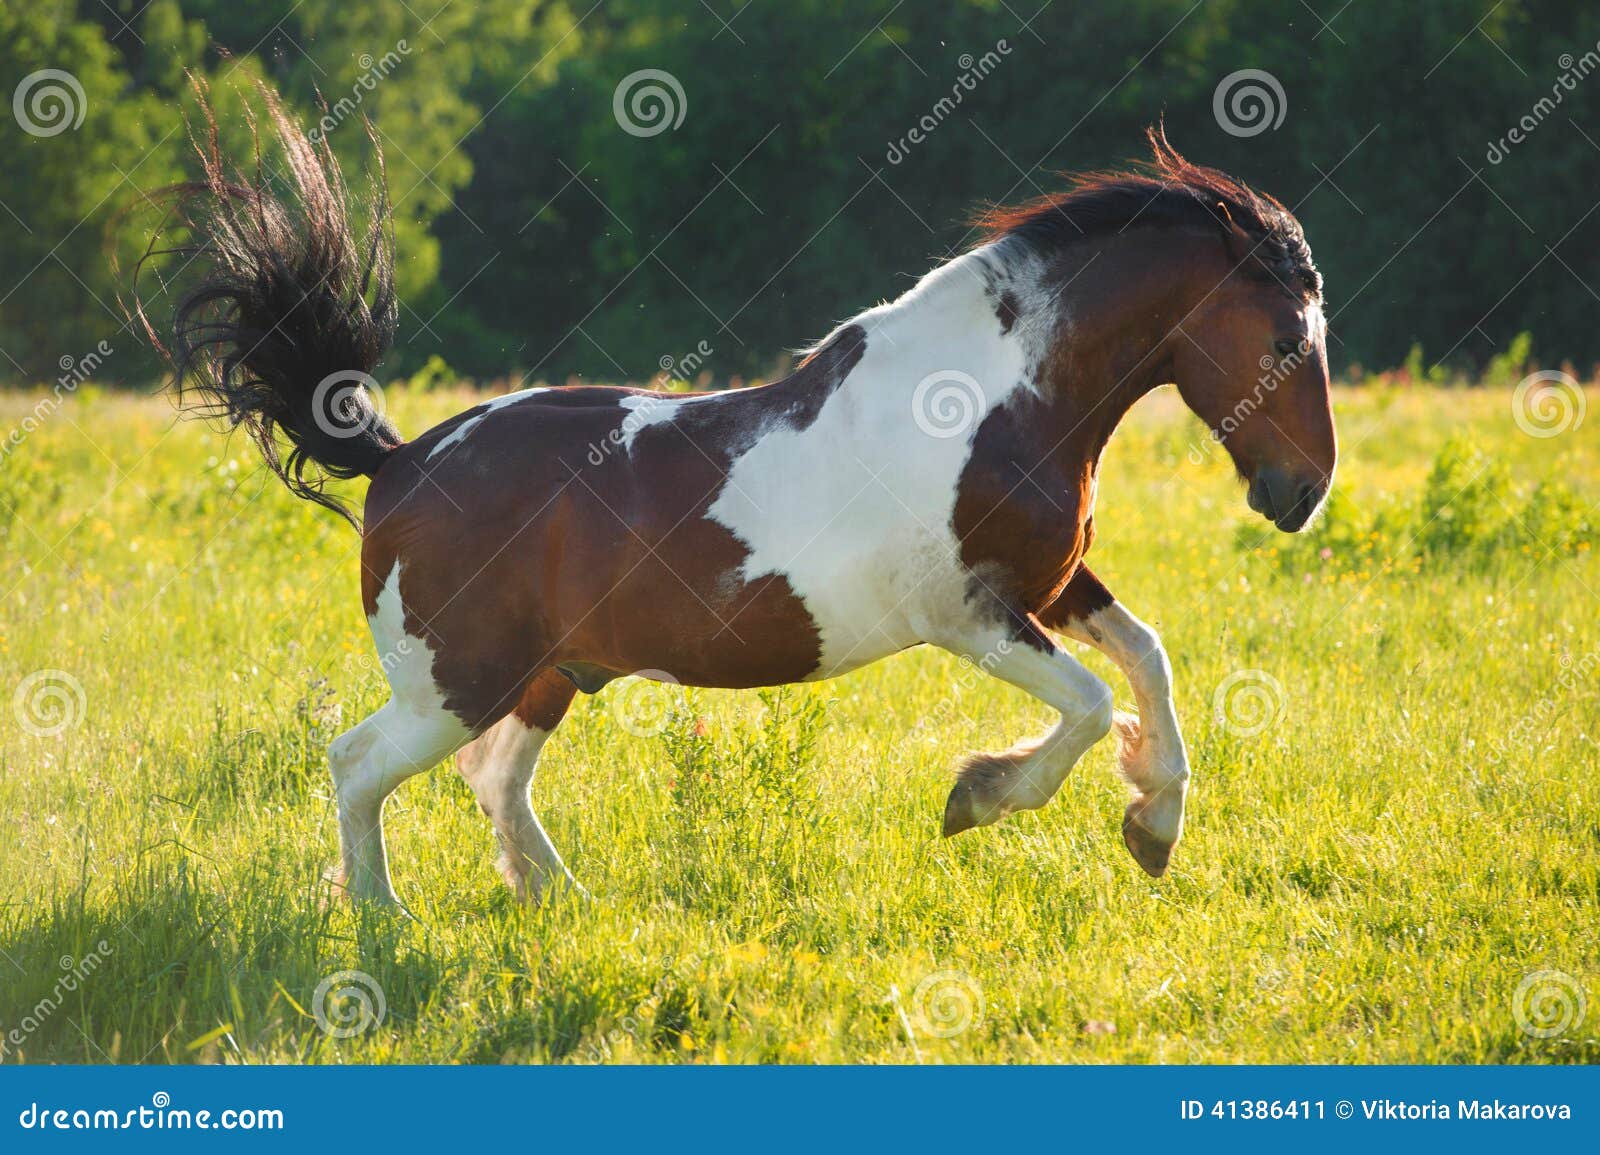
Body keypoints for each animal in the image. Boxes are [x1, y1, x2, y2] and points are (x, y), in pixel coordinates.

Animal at [135, 96, 1335, 908]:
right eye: (1287, 337)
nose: (1301, 495)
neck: (991, 398)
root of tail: (397, 463)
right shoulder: (968, 616)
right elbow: (1088, 704)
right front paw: (979, 798)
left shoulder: (1052, 583)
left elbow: (1150, 663)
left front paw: (1155, 821)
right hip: (454, 682)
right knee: (358, 766)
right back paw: (384, 919)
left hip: (545, 675)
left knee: (495, 781)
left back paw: (559, 901)